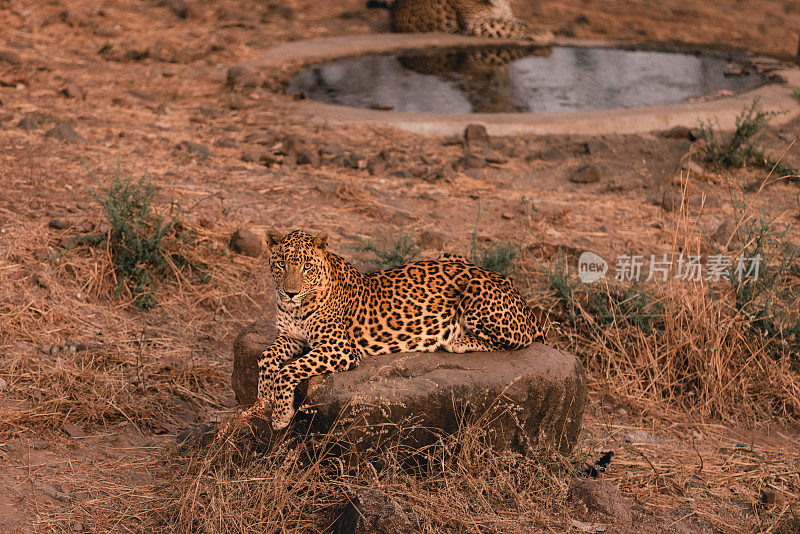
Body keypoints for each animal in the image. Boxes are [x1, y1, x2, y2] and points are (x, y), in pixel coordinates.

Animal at [256, 230, 552, 432]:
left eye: (306, 266)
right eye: (281, 264)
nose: (290, 292)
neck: (295, 306)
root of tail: (520, 295)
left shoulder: (340, 348)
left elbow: (288, 370)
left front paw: (280, 415)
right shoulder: (289, 336)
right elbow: (265, 358)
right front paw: (262, 399)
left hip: (477, 289)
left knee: (519, 339)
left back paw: (457, 340)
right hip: (450, 255)